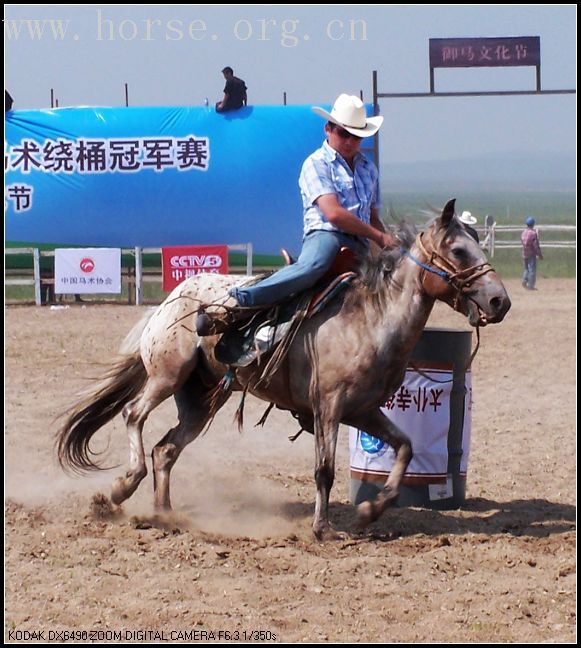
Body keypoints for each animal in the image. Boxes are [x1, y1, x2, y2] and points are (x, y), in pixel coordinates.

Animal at [56, 199, 510, 540]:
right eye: (458, 251)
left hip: (203, 399)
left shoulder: (364, 410)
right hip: (168, 374)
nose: (499, 301)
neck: (370, 319)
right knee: (134, 416)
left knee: (166, 449)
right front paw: (323, 528)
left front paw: (370, 510)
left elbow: (405, 448)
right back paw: (123, 487)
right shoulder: (329, 406)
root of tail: (170, 299)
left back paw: (164, 514)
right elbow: (324, 470)